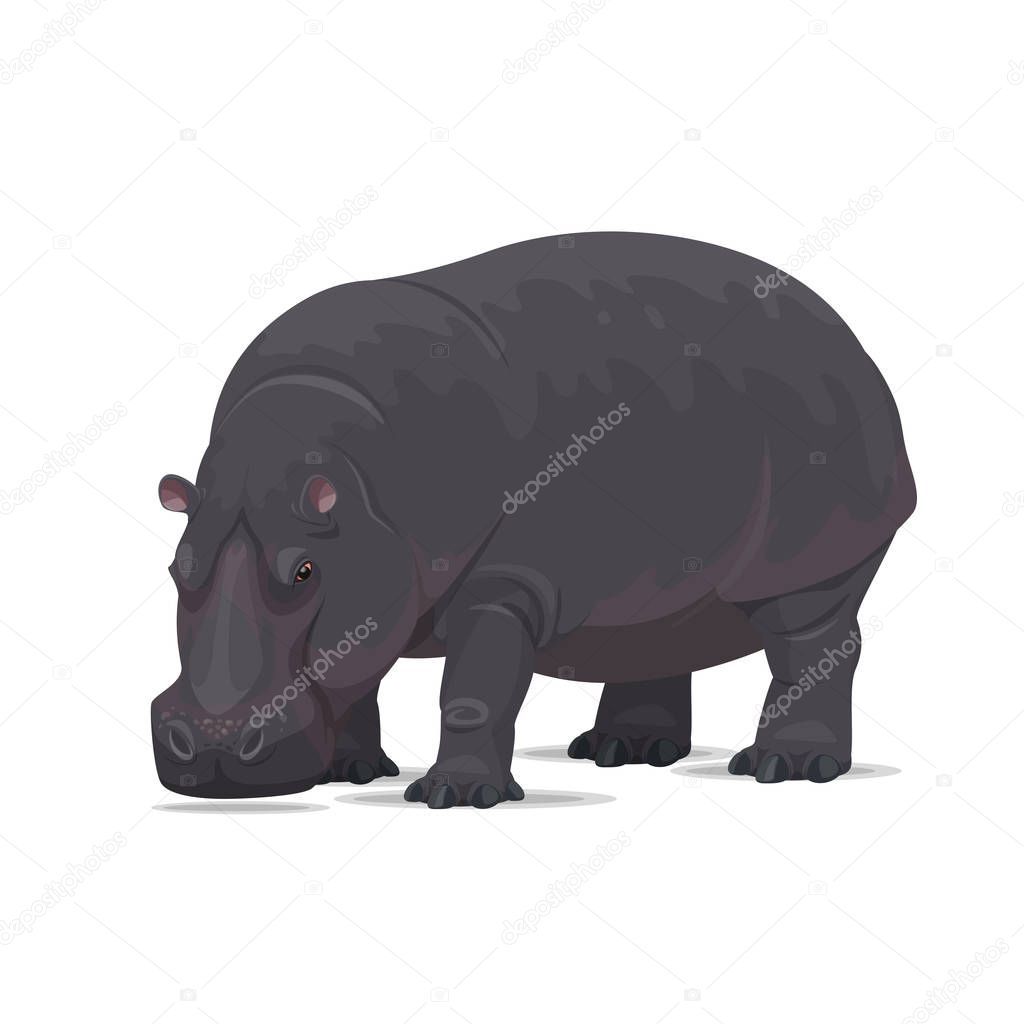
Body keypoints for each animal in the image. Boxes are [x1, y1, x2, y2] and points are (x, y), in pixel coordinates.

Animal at [151, 231, 915, 806]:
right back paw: (625, 753)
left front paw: (452, 797)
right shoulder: (374, 581)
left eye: (305, 570)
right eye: (177, 567)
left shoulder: (503, 586)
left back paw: (788, 768)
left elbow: (473, 692)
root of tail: (848, 338)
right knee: (659, 648)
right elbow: (358, 670)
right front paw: (355, 772)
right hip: (660, 587)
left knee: (816, 649)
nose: (211, 744)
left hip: (814, 559)